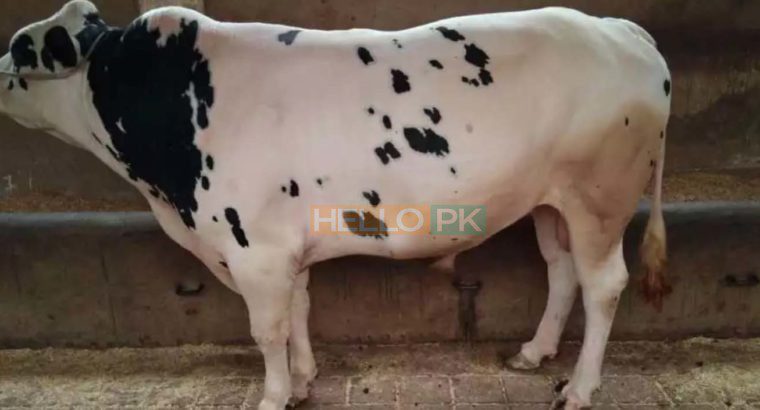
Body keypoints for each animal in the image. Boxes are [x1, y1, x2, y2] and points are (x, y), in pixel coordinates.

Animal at [0, 1, 671, 408]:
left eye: (20, 49)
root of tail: (619, 27)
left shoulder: (254, 251)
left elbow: (267, 329)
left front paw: (273, 395)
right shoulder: (283, 246)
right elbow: (299, 310)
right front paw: (302, 381)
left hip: (599, 198)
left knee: (603, 284)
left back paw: (579, 388)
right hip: (551, 202)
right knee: (561, 273)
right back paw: (533, 354)